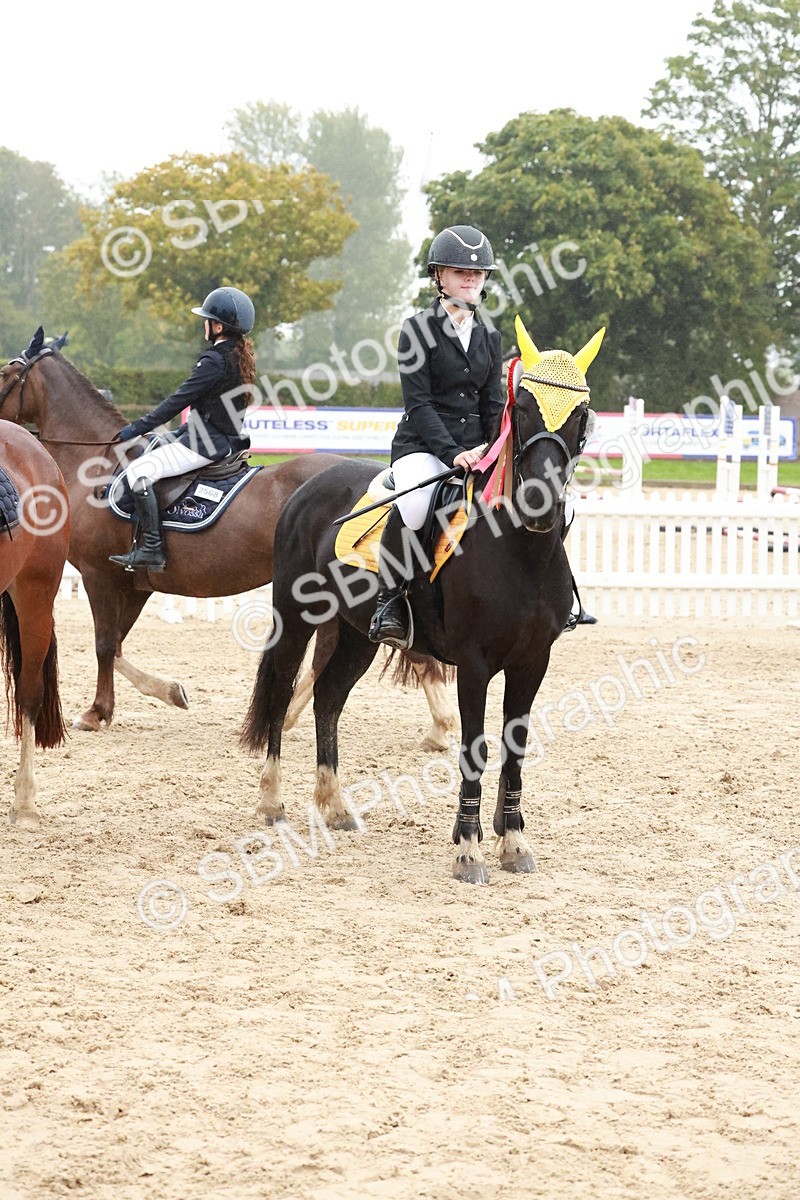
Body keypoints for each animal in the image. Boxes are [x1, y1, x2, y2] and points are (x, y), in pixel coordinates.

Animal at [0, 330, 456, 749]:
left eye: (7, 371)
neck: (96, 462)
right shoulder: (133, 584)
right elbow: (117, 646)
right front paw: (169, 692)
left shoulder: (100, 576)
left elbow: (103, 645)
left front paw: (97, 712)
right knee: (333, 650)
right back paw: (293, 715)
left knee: (402, 649)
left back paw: (439, 726)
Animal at [240, 316, 604, 882]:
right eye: (522, 406)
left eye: (581, 415)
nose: (540, 503)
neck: (519, 550)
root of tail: (309, 483)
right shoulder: (475, 665)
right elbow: (475, 749)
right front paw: (468, 851)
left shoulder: (532, 662)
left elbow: (514, 749)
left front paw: (513, 843)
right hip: (297, 618)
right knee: (281, 693)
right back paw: (273, 802)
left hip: (356, 635)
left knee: (328, 698)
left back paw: (335, 807)